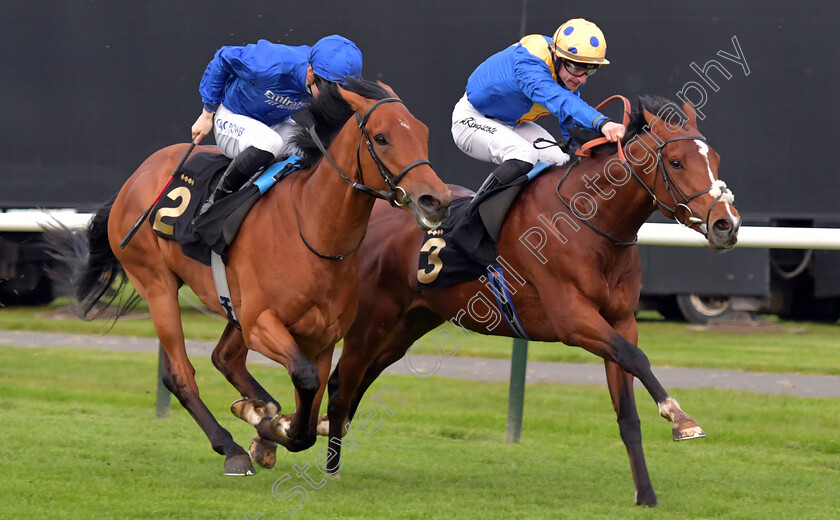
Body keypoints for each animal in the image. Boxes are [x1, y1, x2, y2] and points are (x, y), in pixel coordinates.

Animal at [44, 78, 452, 476]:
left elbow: (310, 408)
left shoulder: (321, 339)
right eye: (382, 138)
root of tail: (137, 175)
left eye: (423, 132)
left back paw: (258, 411)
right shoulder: (261, 324)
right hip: (157, 284)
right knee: (180, 374)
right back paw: (232, 448)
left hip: (232, 306)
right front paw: (272, 427)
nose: (436, 200)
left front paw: (270, 425)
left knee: (225, 358)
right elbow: (304, 384)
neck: (314, 232)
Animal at [320, 96, 736, 504]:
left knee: (363, 376)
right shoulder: (572, 320)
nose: (726, 224)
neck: (588, 221)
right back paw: (330, 466)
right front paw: (680, 418)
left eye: (715, 158)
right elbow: (635, 357)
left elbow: (627, 411)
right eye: (676, 161)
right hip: (371, 320)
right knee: (343, 380)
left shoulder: (621, 321)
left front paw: (646, 493)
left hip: (409, 322)